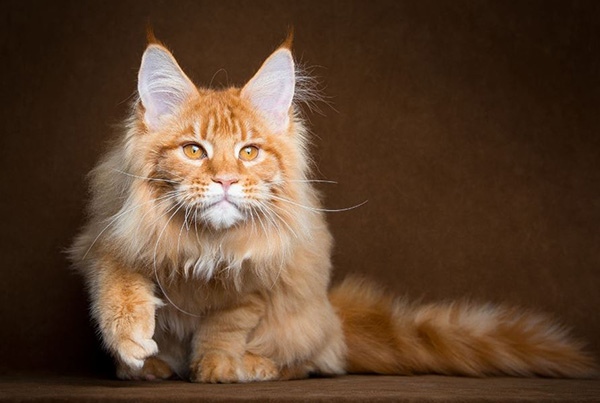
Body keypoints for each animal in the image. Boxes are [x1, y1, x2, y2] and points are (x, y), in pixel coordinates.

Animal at [69, 33, 596, 384]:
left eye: (249, 152)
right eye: (194, 151)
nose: (225, 180)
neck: (208, 243)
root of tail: (334, 323)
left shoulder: (258, 278)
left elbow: (226, 324)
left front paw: (217, 367)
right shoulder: (109, 230)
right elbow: (118, 279)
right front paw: (132, 341)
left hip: (306, 322)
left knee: (306, 361)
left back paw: (257, 366)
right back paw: (150, 368)